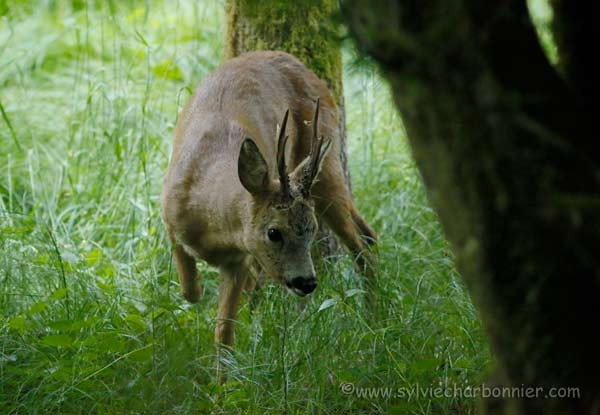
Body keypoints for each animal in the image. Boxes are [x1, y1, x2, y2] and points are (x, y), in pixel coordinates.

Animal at [159, 49, 376, 370]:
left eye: (311, 229)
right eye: (274, 232)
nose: (306, 282)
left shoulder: (236, 260)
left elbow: (224, 335)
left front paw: (224, 382)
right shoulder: (169, 219)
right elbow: (190, 291)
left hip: (326, 164)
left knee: (362, 246)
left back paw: (376, 317)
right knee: (369, 233)